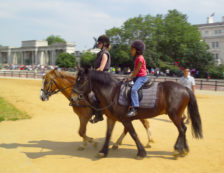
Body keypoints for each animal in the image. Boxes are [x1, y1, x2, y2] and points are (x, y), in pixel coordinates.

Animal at [72, 69, 203, 159]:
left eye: (82, 80)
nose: (73, 98)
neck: (112, 92)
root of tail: (185, 88)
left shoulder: (125, 119)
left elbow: (133, 134)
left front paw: (141, 152)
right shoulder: (111, 118)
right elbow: (108, 134)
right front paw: (103, 151)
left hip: (174, 115)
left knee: (181, 129)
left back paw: (177, 149)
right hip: (177, 115)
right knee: (183, 129)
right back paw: (184, 149)